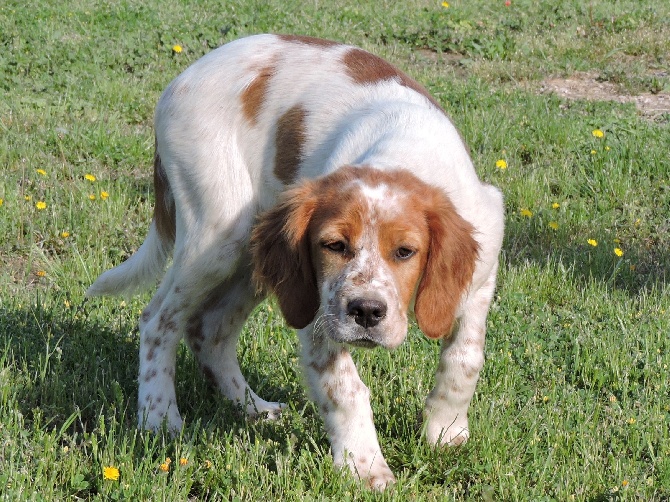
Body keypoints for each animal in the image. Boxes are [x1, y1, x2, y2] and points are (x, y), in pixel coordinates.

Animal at [88, 33, 504, 488]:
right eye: (334, 245)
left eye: (405, 252)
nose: (366, 312)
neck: (402, 150)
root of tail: (179, 81)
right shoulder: (321, 309)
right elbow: (344, 387)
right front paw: (365, 468)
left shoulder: (481, 274)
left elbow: (464, 359)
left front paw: (445, 434)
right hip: (217, 235)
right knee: (159, 319)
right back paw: (160, 417)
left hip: (257, 254)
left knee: (209, 328)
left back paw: (253, 409)